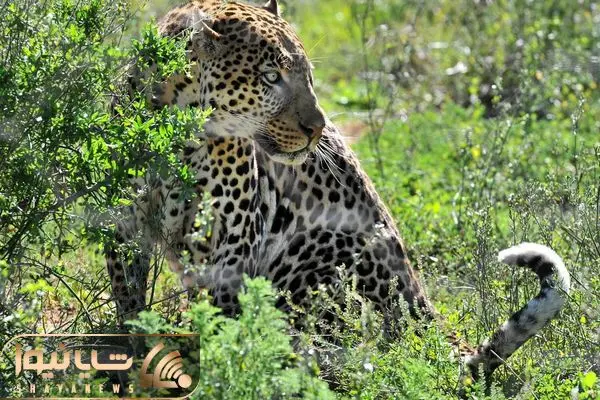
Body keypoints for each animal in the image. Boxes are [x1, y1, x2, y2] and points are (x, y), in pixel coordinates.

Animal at [106, 0, 571, 383]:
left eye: (309, 77)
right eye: (270, 77)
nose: (316, 129)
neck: (178, 132)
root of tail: (423, 305)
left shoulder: (233, 237)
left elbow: (219, 315)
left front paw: (218, 365)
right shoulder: (123, 226)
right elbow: (128, 297)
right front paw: (132, 355)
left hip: (320, 251)